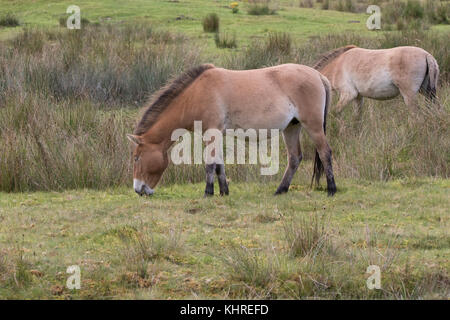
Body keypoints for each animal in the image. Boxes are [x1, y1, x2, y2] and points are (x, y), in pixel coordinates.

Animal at [126, 63, 338, 198]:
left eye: (136, 158)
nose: (138, 189)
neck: (196, 94)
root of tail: (319, 76)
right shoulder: (216, 134)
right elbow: (219, 163)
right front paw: (223, 191)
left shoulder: (211, 132)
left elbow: (210, 163)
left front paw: (208, 193)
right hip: (291, 128)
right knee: (295, 158)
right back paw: (280, 190)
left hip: (313, 126)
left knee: (325, 152)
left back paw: (331, 189)